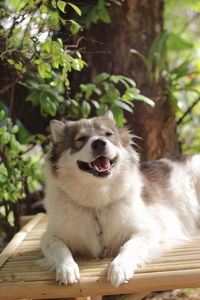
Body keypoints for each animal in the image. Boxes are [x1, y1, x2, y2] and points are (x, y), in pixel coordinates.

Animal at [40, 112, 200, 286]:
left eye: (108, 135)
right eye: (81, 139)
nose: (99, 143)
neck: (97, 202)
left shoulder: (148, 230)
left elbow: (130, 246)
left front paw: (119, 267)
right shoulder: (49, 236)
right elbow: (59, 247)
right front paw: (66, 268)